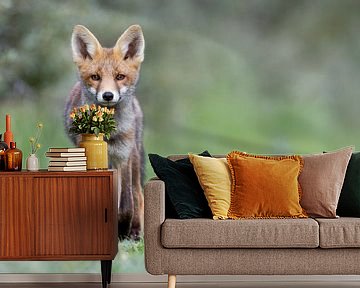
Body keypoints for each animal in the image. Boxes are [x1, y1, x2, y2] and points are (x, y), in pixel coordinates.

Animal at [64, 24, 145, 241]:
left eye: (119, 77)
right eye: (95, 77)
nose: (108, 95)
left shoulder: (123, 157)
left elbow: (126, 205)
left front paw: (122, 230)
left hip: (134, 157)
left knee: (138, 194)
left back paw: (135, 231)